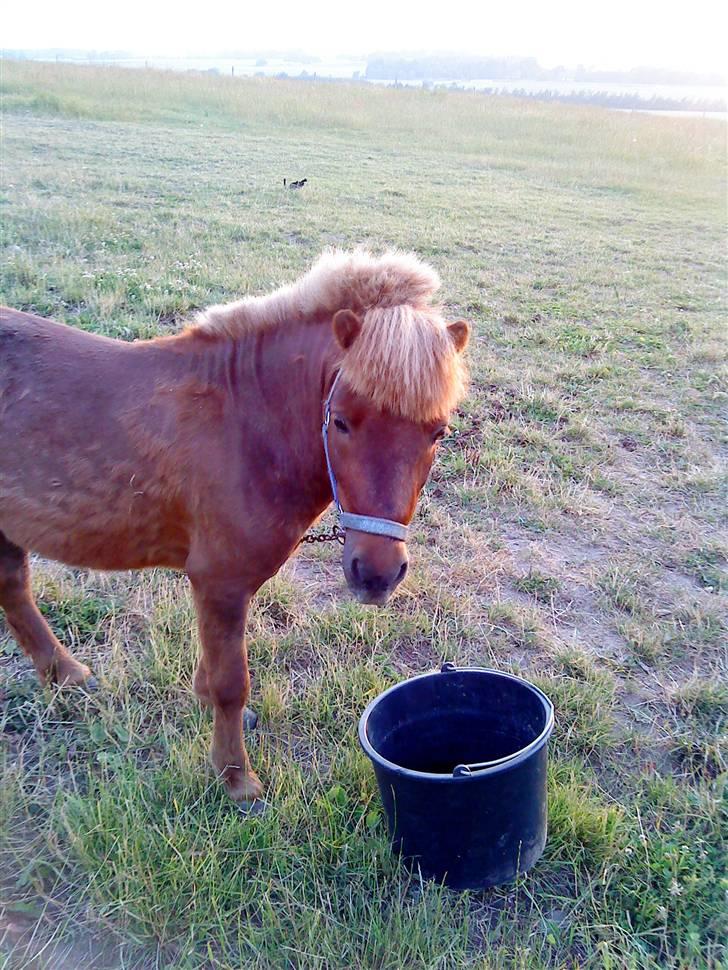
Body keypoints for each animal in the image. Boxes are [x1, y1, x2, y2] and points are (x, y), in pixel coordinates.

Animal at [0, 249, 469, 803]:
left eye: (438, 432)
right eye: (341, 421)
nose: (376, 574)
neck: (244, 425)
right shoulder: (218, 582)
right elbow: (231, 683)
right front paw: (236, 779)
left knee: (13, 588)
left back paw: (66, 675)